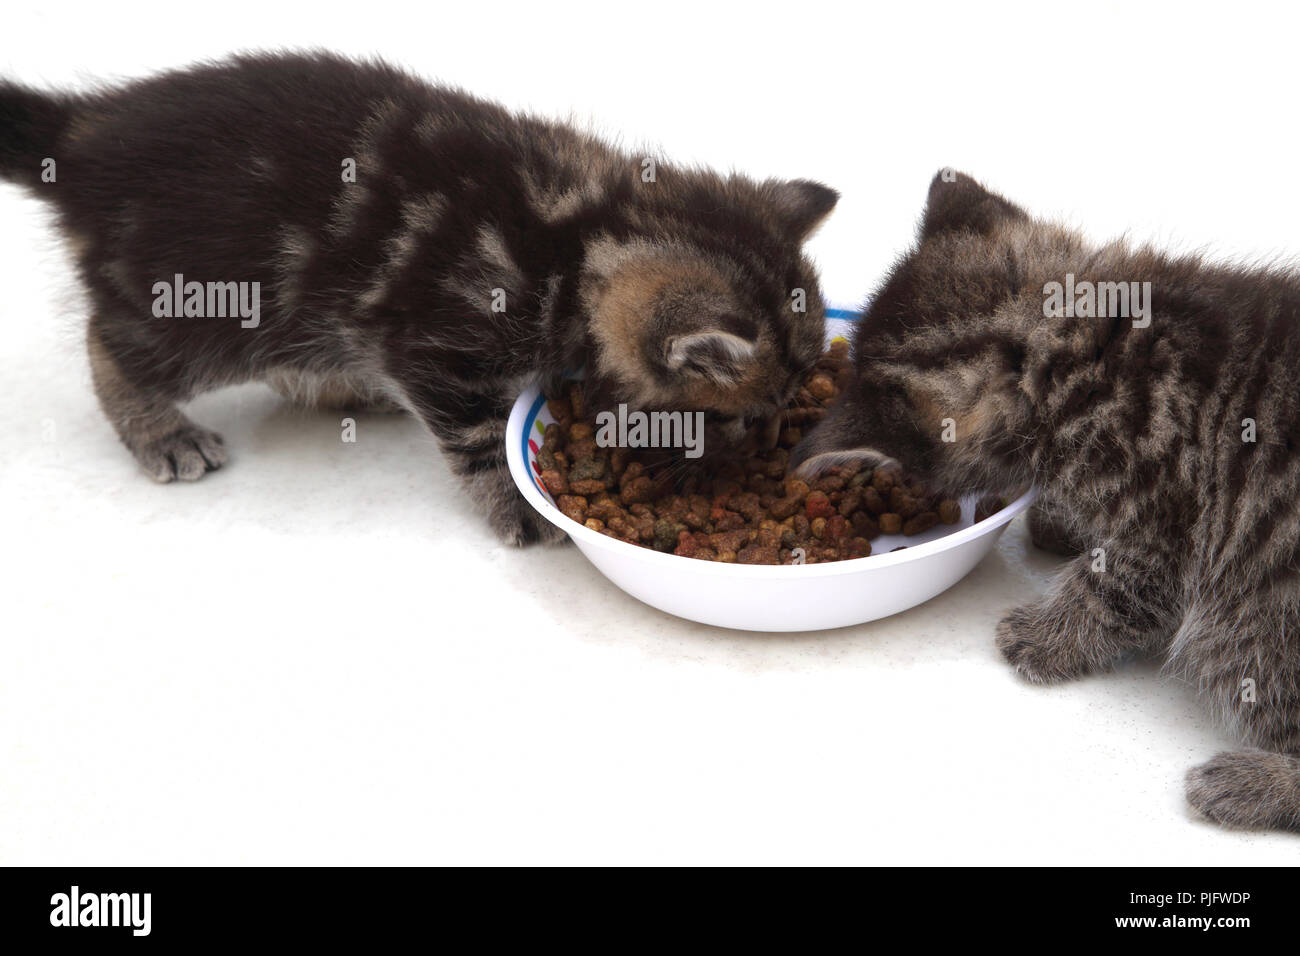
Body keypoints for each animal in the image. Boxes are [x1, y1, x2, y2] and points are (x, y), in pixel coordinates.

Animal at [0, 54, 832, 546]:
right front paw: (520, 507)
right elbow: (476, 439)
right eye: (745, 414)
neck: (586, 233)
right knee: (112, 347)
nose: (770, 443)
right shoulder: (440, 346)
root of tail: (79, 139)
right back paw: (161, 430)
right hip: (197, 309)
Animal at [795, 170, 1300, 832]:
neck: (1077, 345)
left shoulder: (1166, 522)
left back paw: (1251, 784)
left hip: (1254, 622)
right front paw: (1059, 522)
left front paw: (1047, 635)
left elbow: (1116, 589)